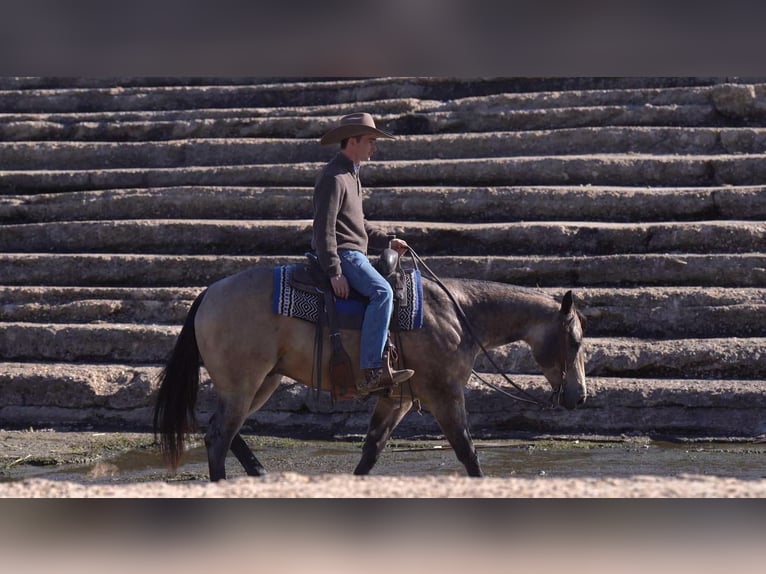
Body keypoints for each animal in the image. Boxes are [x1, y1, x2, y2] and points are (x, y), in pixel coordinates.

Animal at [154, 256, 588, 482]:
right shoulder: (445, 394)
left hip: (262, 382)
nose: (579, 396)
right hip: (245, 382)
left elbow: (372, 450)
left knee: (227, 431)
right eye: (575, 341)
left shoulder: (397, 398)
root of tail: (210, 293)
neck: (459, 315)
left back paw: (258, 473)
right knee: (218, 437)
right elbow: (468, 451)